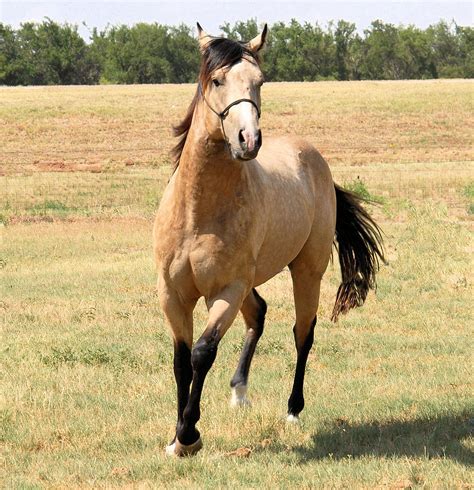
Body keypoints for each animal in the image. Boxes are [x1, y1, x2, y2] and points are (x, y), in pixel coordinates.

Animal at [156, 24, 386, 458]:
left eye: (259, 82)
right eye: (216, 80)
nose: (248, 139)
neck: (198, 213)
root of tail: (313, 158)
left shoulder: (226, 290)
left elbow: (202, 353)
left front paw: (189, 434)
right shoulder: (173, 294)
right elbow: (180, 359)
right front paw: (176, 438)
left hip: (306, 272)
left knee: (303, 333)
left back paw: (293, 410)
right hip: (252, 284)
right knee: (259, 314)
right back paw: (239, 391)